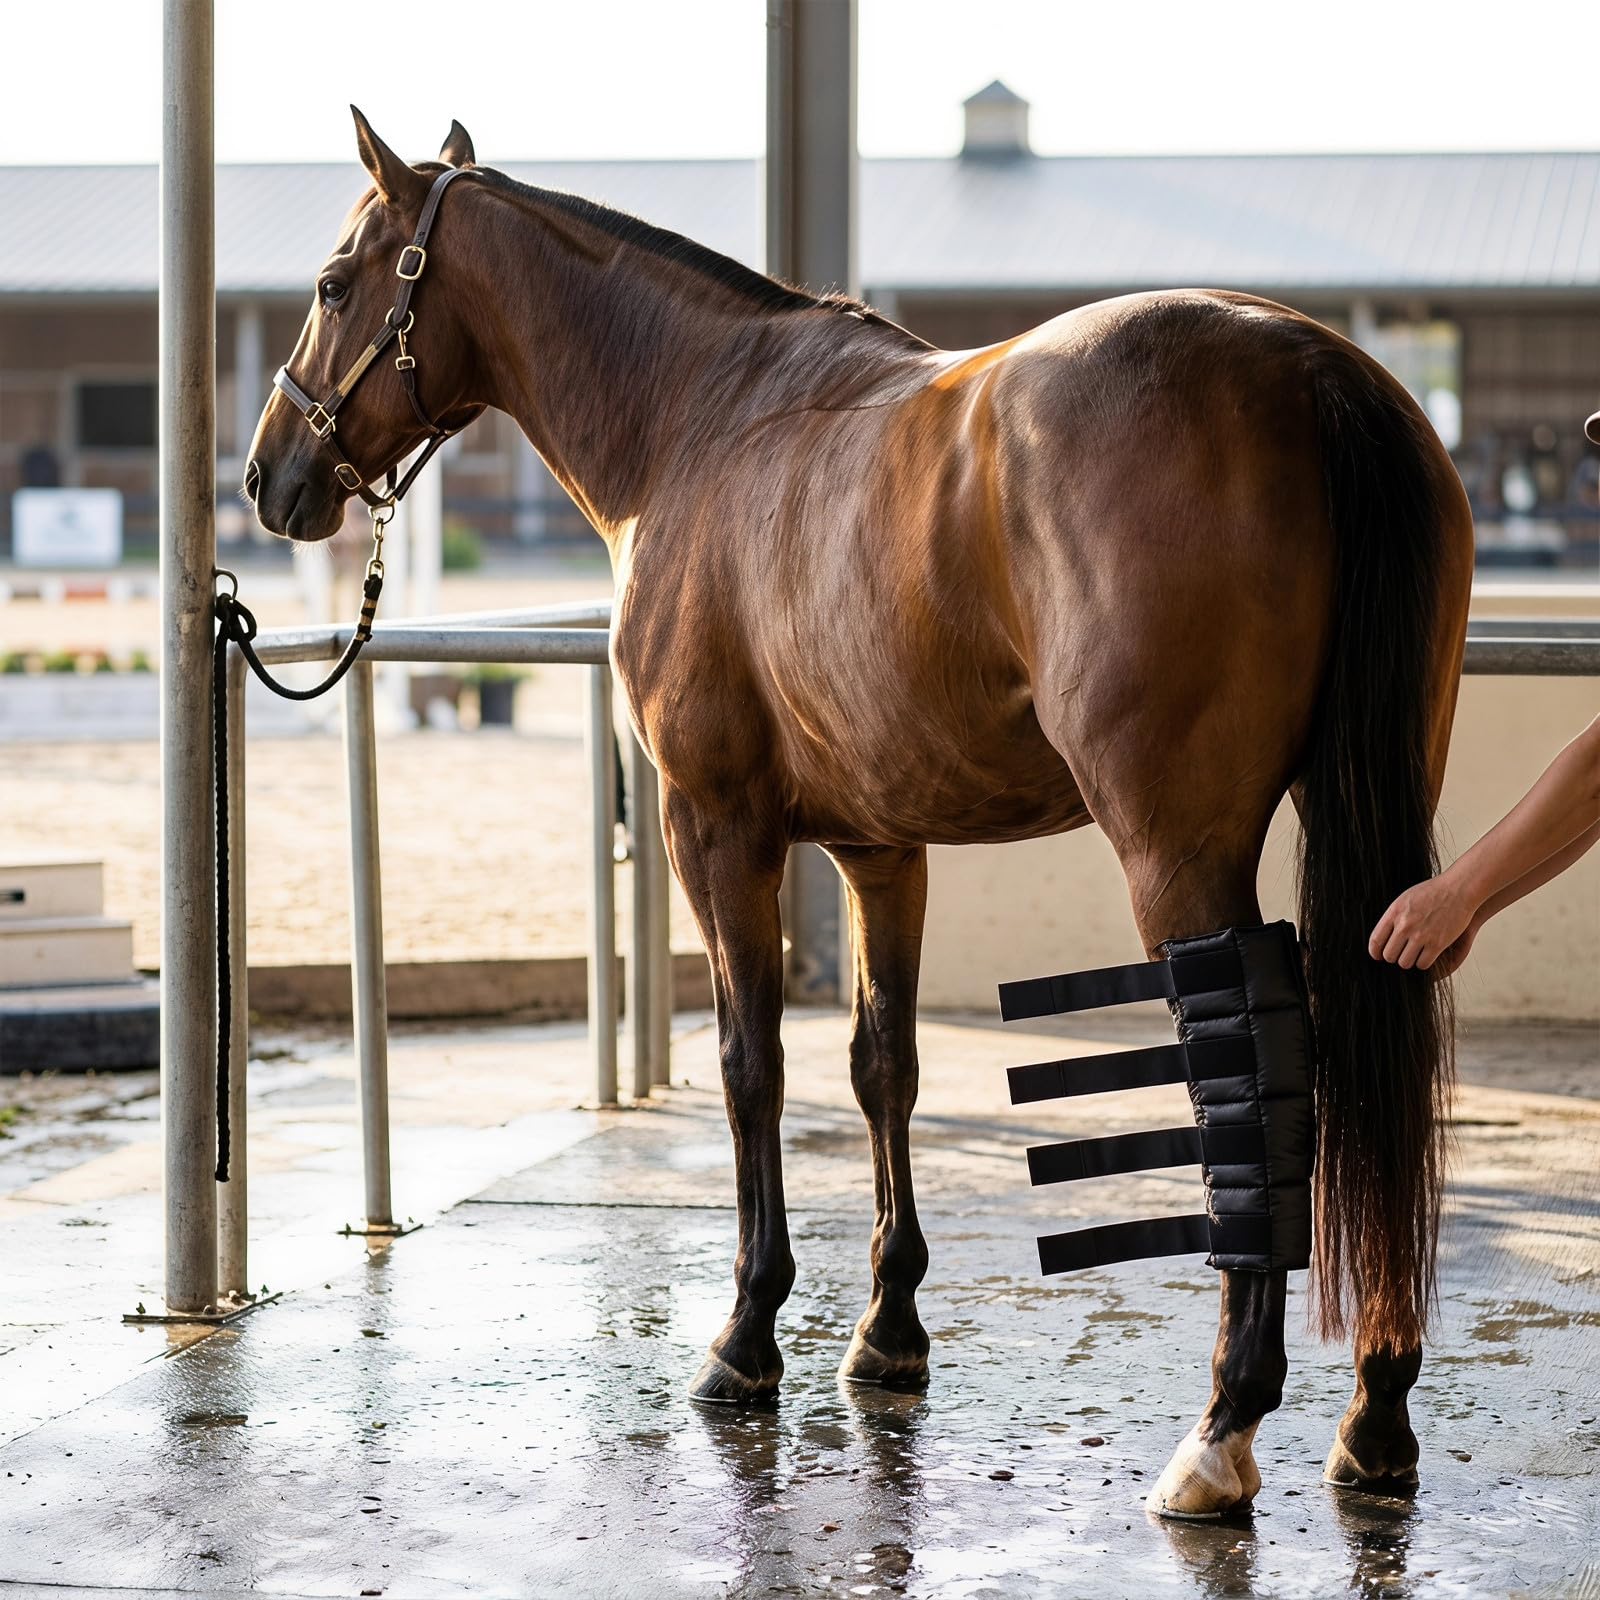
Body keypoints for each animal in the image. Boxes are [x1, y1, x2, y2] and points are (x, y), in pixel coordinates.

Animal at [244, 111, 1473, 1519]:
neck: (697, 419)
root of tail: (1309, 367)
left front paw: (746, 1334)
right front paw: (887, 1331)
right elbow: (883, 1062)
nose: (268, 474)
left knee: (1256, 1073)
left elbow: (753, 1063)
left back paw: (1224, 1422)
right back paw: (1375, 1412)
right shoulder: (882, 847)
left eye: (334, 284)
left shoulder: (715, 829)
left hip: (1178, 847)